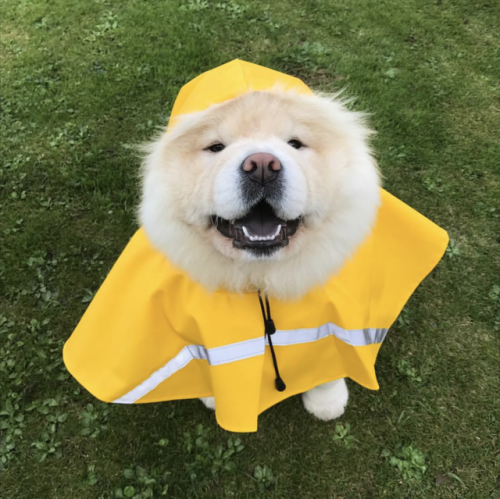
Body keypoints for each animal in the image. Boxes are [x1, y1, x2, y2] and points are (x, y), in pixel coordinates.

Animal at [137, 87, 378, 422]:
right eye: (216, 147)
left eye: (295, 143)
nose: (262, 164)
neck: (262, 277)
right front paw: (213, 396)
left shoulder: (336, 319)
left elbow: (330, 360)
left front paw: (326, 402)